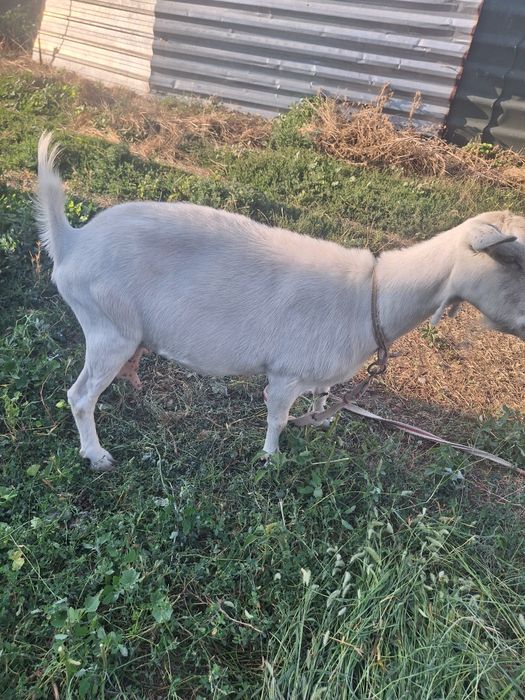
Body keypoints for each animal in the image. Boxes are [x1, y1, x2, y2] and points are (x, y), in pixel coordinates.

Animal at [36, 133, 525, 471]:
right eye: (511, 259)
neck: (372, 295)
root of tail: (72, 243)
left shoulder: (319, 369)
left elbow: (321, 396)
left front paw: (321, 420)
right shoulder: (287, 372)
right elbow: (277, 417)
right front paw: (271, 459)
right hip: (108, 327)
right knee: (79, 395)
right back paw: (97, 455)